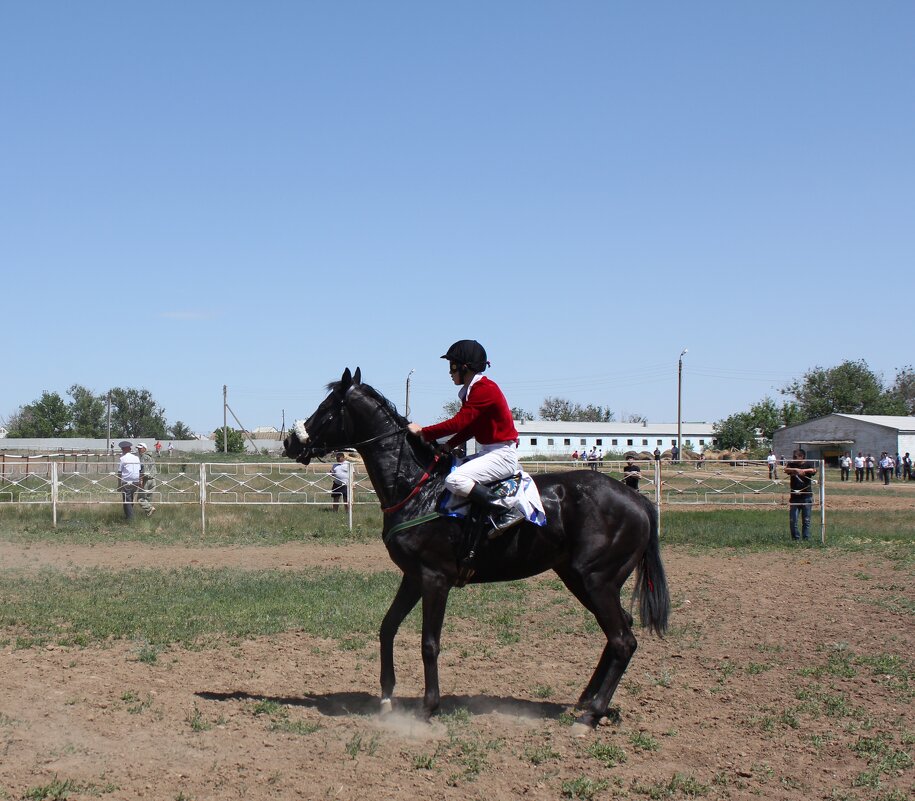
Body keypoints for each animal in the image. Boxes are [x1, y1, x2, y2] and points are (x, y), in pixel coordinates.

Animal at [282, 368, 668, 732]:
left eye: (327, 408)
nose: (289, 441)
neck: (419, 488)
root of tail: (636, 499)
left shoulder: (434, 579)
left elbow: (429, 643)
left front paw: (428, 707)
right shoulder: (413, 577)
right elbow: (387, 628)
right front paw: (387, 696)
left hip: (596, 581)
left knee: (623, 640)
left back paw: (591, 714)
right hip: (581, 579)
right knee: (619, 632)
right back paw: (585, 700)